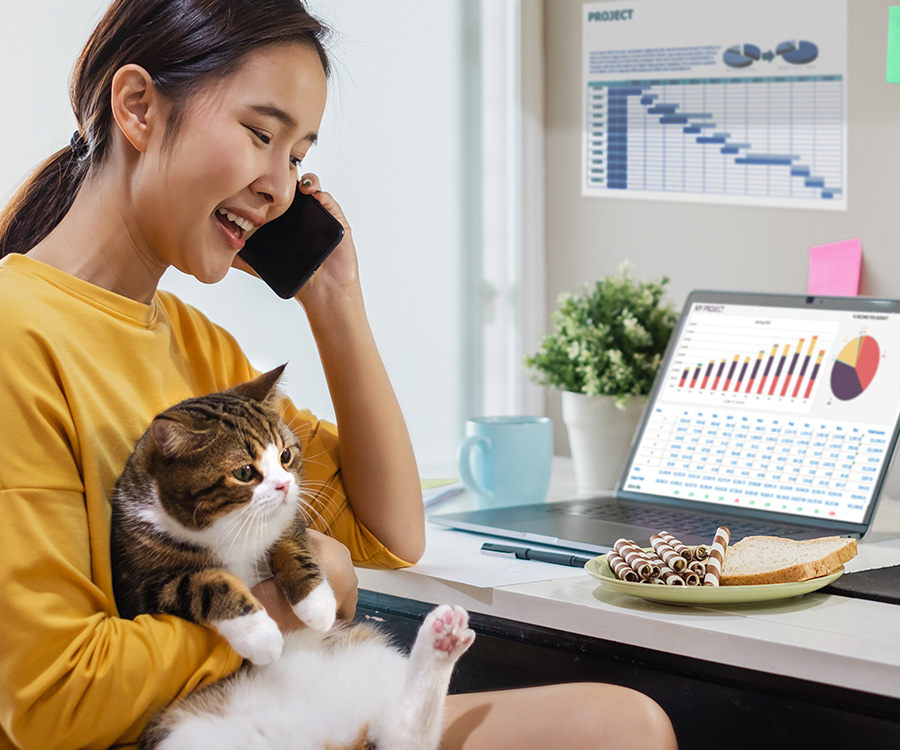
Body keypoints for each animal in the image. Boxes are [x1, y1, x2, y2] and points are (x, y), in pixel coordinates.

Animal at [110, 370, 478, 750]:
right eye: (245, 472)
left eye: (285, 455)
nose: (284, 485)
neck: (229, 526)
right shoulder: (144, 584)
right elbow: (208, 583)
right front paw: (259, 634)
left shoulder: (288, 520)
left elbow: (292, 546)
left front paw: (316, 604)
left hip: (371, 661)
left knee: (405, 733)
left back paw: (443, 640)